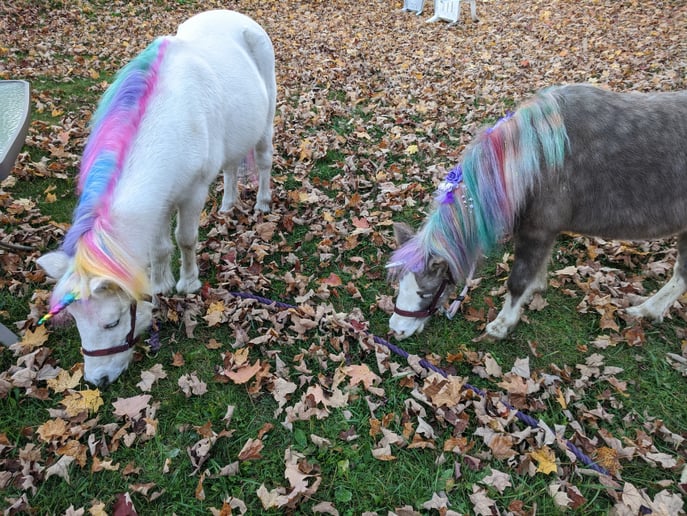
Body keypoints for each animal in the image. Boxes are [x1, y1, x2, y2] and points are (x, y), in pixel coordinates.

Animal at [36, 10, 276, 386]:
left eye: (112, 322)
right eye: (75, 321)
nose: (98, 380)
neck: (170, 121)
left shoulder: (191, 194)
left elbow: (185, 239)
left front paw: (188, 283)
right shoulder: (162, 199)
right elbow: (159, 247)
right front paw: (161, 284)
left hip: (266, 121)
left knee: (264, 159)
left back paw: (262, 203)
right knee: (230, 167)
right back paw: (226, 206)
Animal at [387, 83, 687, 340]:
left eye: (425, 292)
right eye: (399, 283)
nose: (397, 330)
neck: (536, 159)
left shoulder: (538, 229)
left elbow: (518, 280)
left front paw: (502, 324)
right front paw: (536, 288)